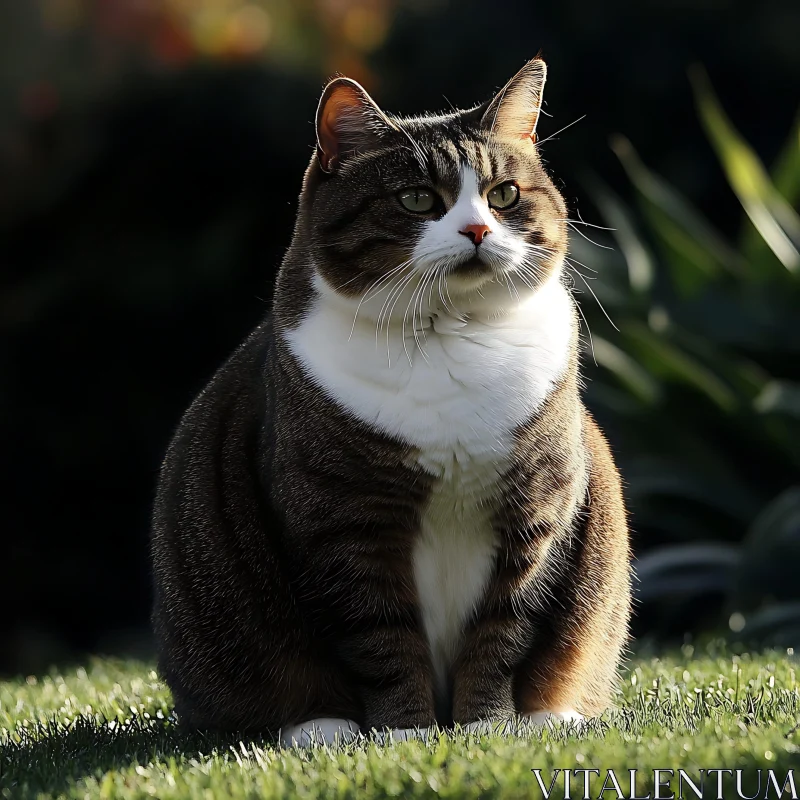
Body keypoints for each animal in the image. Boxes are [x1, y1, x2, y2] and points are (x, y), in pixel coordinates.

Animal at [150, 59, 632, 748]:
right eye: (417, 199)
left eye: (504, 195)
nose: (477, 229)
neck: (449, 337)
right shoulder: (342, 523)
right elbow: (381, 640)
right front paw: (407, 736)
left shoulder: (534, 514)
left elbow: (503, 633)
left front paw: (486, 729)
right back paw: (321, 730)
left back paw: (553, 718)